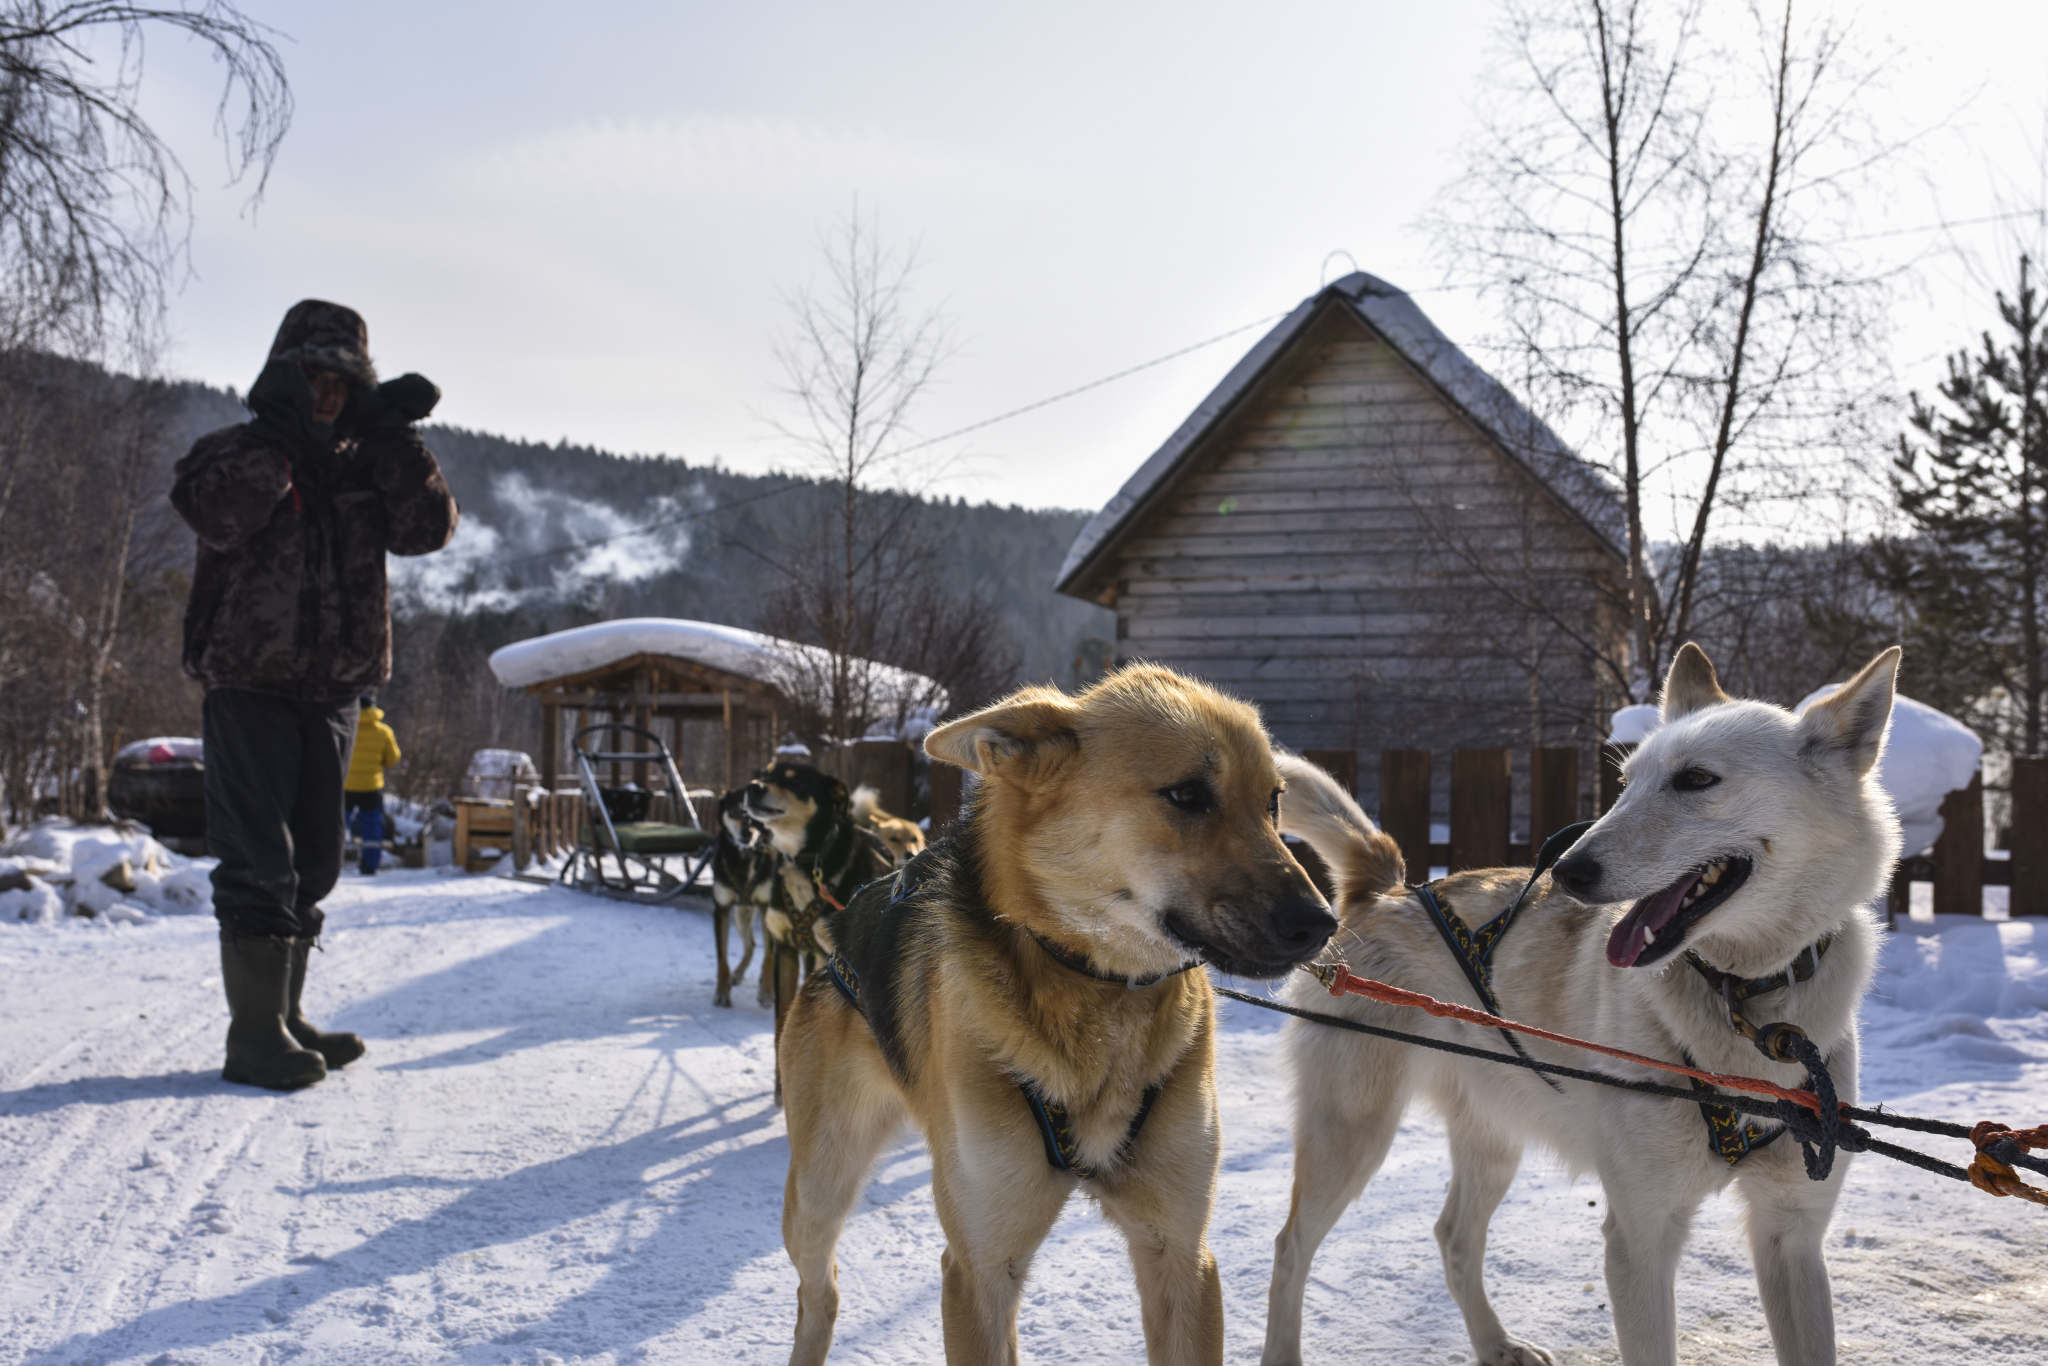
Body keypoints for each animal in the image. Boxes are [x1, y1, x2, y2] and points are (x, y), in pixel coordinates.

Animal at [774, 659, 1335, 1359]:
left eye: (1272, 802)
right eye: (1187, 795)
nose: (1322, 923)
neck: (1100, 987)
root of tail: (849, 921)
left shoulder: (1180, 1254)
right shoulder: (980, 1270)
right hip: (818, 1191)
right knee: (818, 1289)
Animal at [1261, 643, 1900, 1366]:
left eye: (1696, 779)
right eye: (1626, 783)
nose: (1568, 869)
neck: (1744, 999)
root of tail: (1388, 888)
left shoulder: (1791, 1235)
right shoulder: (1640, 1237)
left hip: (1491, 1141)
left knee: (1453, 1237)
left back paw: (1496, 1343)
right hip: (1352, 1135)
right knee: (1290, 1248)